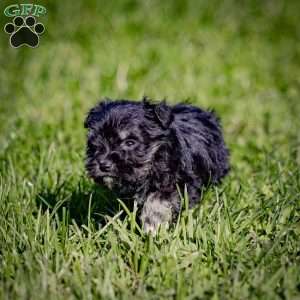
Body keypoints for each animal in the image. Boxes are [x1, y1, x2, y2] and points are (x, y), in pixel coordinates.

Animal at [83, 97, 229, 233]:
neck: (153, 159)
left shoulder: (179, 182)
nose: (104, 165)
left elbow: (157, 200)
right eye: (95, 142)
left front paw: (152, 227)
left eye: (130, 142)